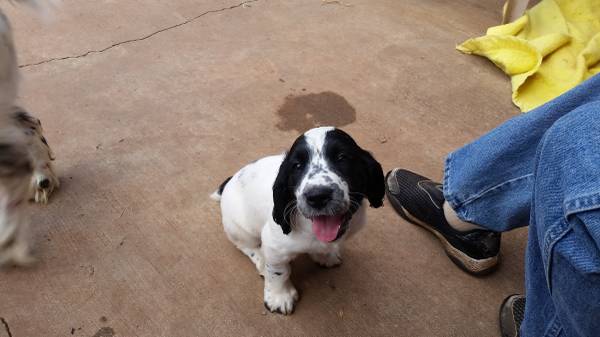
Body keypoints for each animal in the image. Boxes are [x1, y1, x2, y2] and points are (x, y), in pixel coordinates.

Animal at [213, 125, 386, 312]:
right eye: (297, 165)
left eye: (342, 157)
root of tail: (229, 181)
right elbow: (279, 272)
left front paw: (325, 256)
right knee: (246, 246)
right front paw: (279, 296)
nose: (317, 196)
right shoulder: (274, 247)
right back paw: (261, 259)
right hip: (239, 228)